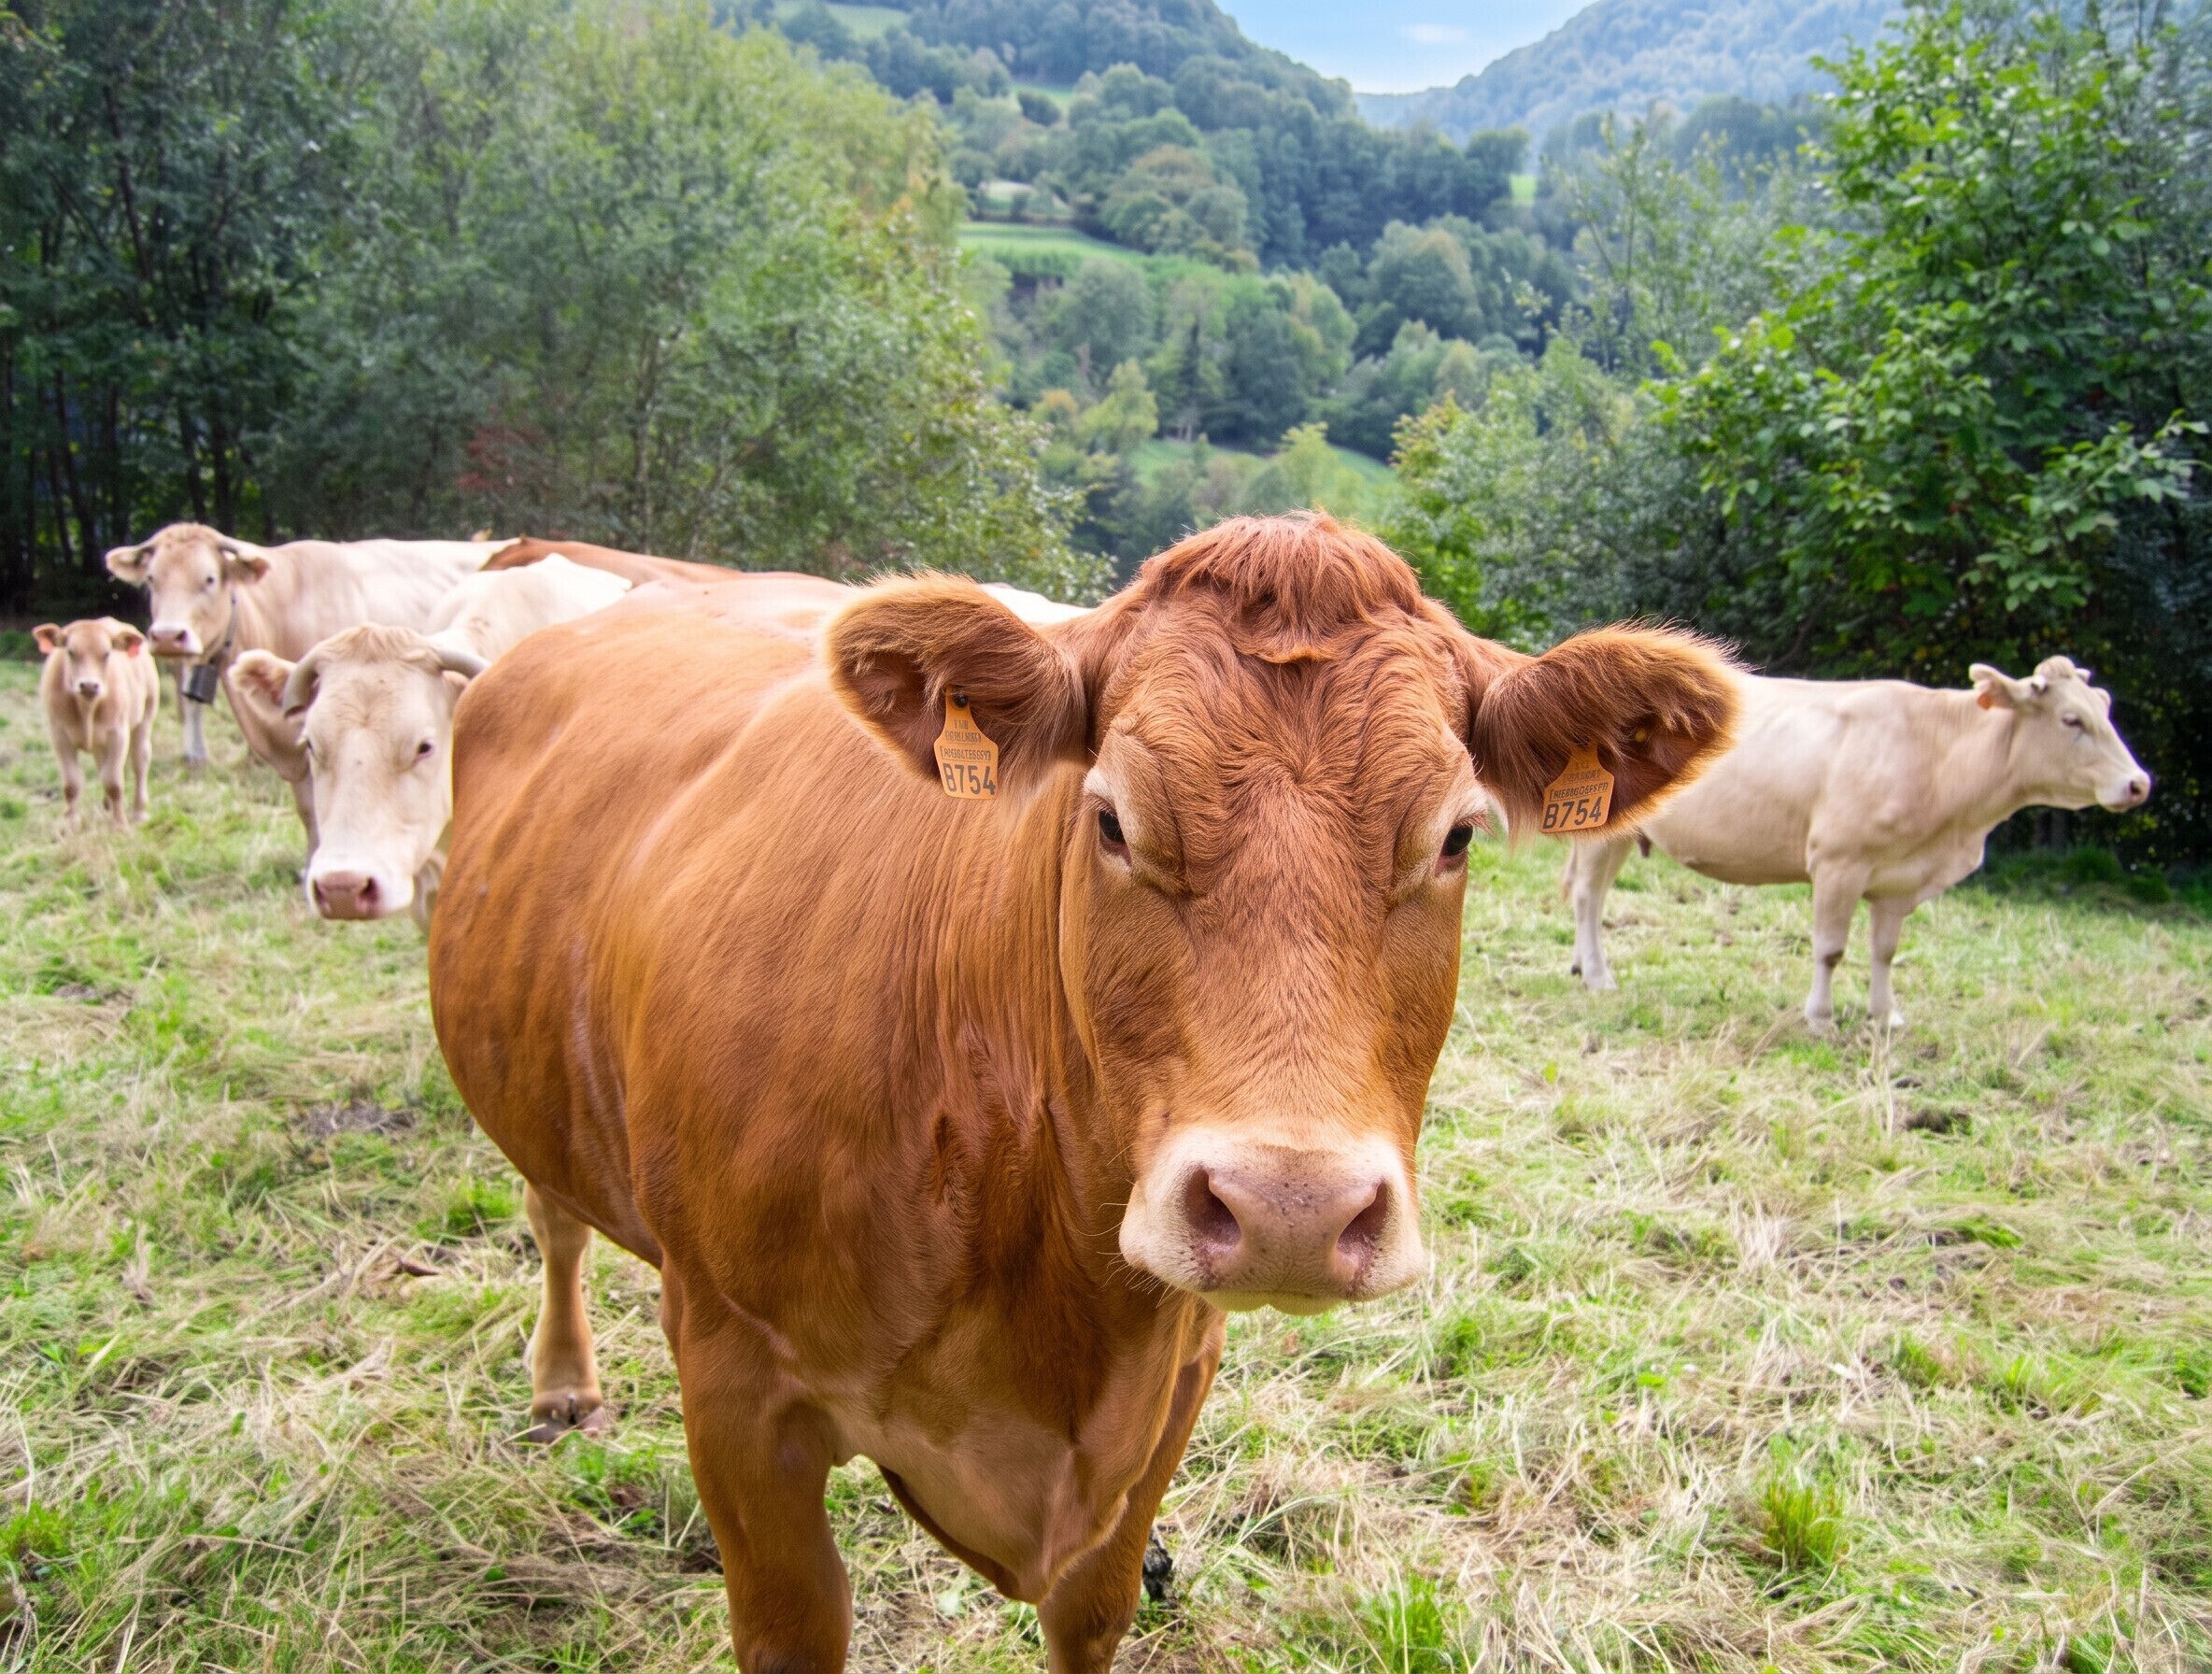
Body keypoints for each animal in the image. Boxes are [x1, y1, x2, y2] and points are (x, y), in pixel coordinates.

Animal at [35, 618, 160, 825]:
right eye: (71, 652)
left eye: (107, 653)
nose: (89, 685)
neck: (87, 708)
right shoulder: (60, 736)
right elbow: (72, 784)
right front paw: (70, 823)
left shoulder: (118, 735)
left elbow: (113, 782)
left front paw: (120, 825)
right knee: (102, 763)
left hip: (145, 717)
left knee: (140, 759)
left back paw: (139, 812)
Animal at [426, 515, 1738, 1672]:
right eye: (1110, 819)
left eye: (1456, 837)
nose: (1291, 1210)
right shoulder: (734, 1375)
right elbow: (797, 1630)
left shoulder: (1174, 1377)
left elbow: (1095, 1611)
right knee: (551, 1214)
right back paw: (562, 1384)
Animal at [1563, 656, 2152, 1031]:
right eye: (2071, 719)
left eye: (2105, 709)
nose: (2139, 783)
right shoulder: (1838, 861)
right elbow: (1830, 948)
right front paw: (1821, 1019)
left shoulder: (1898, 881)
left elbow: (1884, 950)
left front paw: (1886, 1016)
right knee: (1588, 897)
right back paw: (1599, 977)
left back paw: (1580, 967)